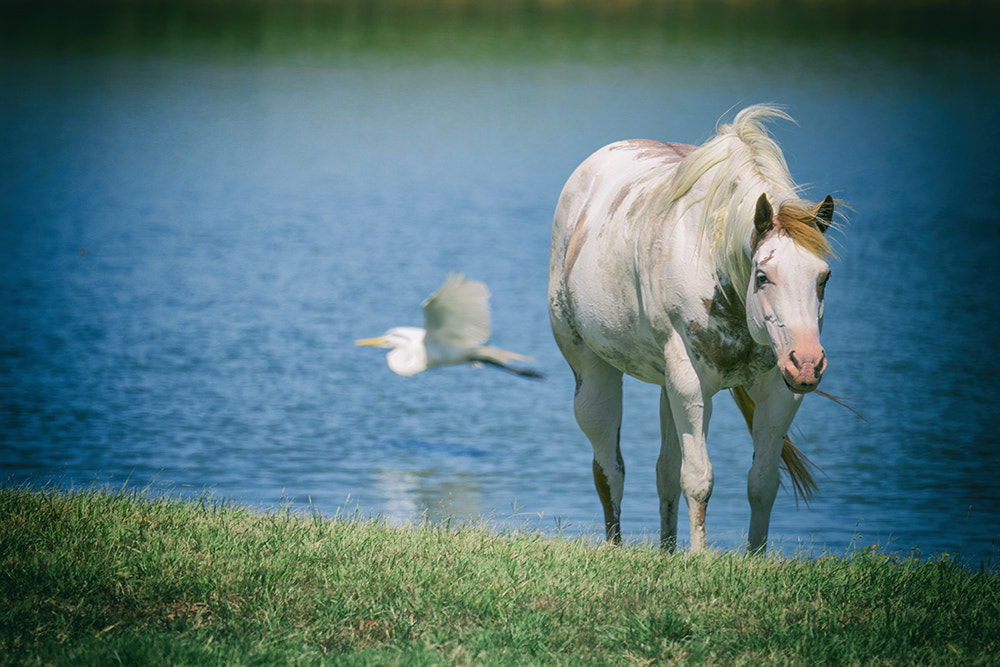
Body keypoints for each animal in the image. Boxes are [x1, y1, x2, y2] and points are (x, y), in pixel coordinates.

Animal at [548, 103, 836, 552]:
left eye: (823, 277)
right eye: (763, 276)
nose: (807, 363)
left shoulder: (778, 390)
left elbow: (762, 483)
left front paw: (754, 557)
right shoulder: (693, 386)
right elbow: (699, 480)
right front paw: (699, 556)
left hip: (668, 387)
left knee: (663, 471)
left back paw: (666, 549)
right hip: (594, 373)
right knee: (609, 469)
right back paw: (616, 545)